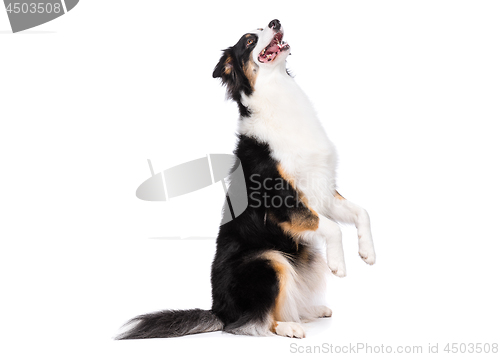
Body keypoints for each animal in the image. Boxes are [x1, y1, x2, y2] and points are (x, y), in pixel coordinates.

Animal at [118, 19, 376, 340]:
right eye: (250, 40)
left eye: (265, 26)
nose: (276, 21)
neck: (277, 91)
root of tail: (218, 311)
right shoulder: (281, 200)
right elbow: (332, 228)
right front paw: (339, 264)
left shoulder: (323, 190)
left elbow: (361, 212)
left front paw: (367, 252)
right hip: (268, 260)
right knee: (255, 320)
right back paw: (289, 326)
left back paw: (311, 310)